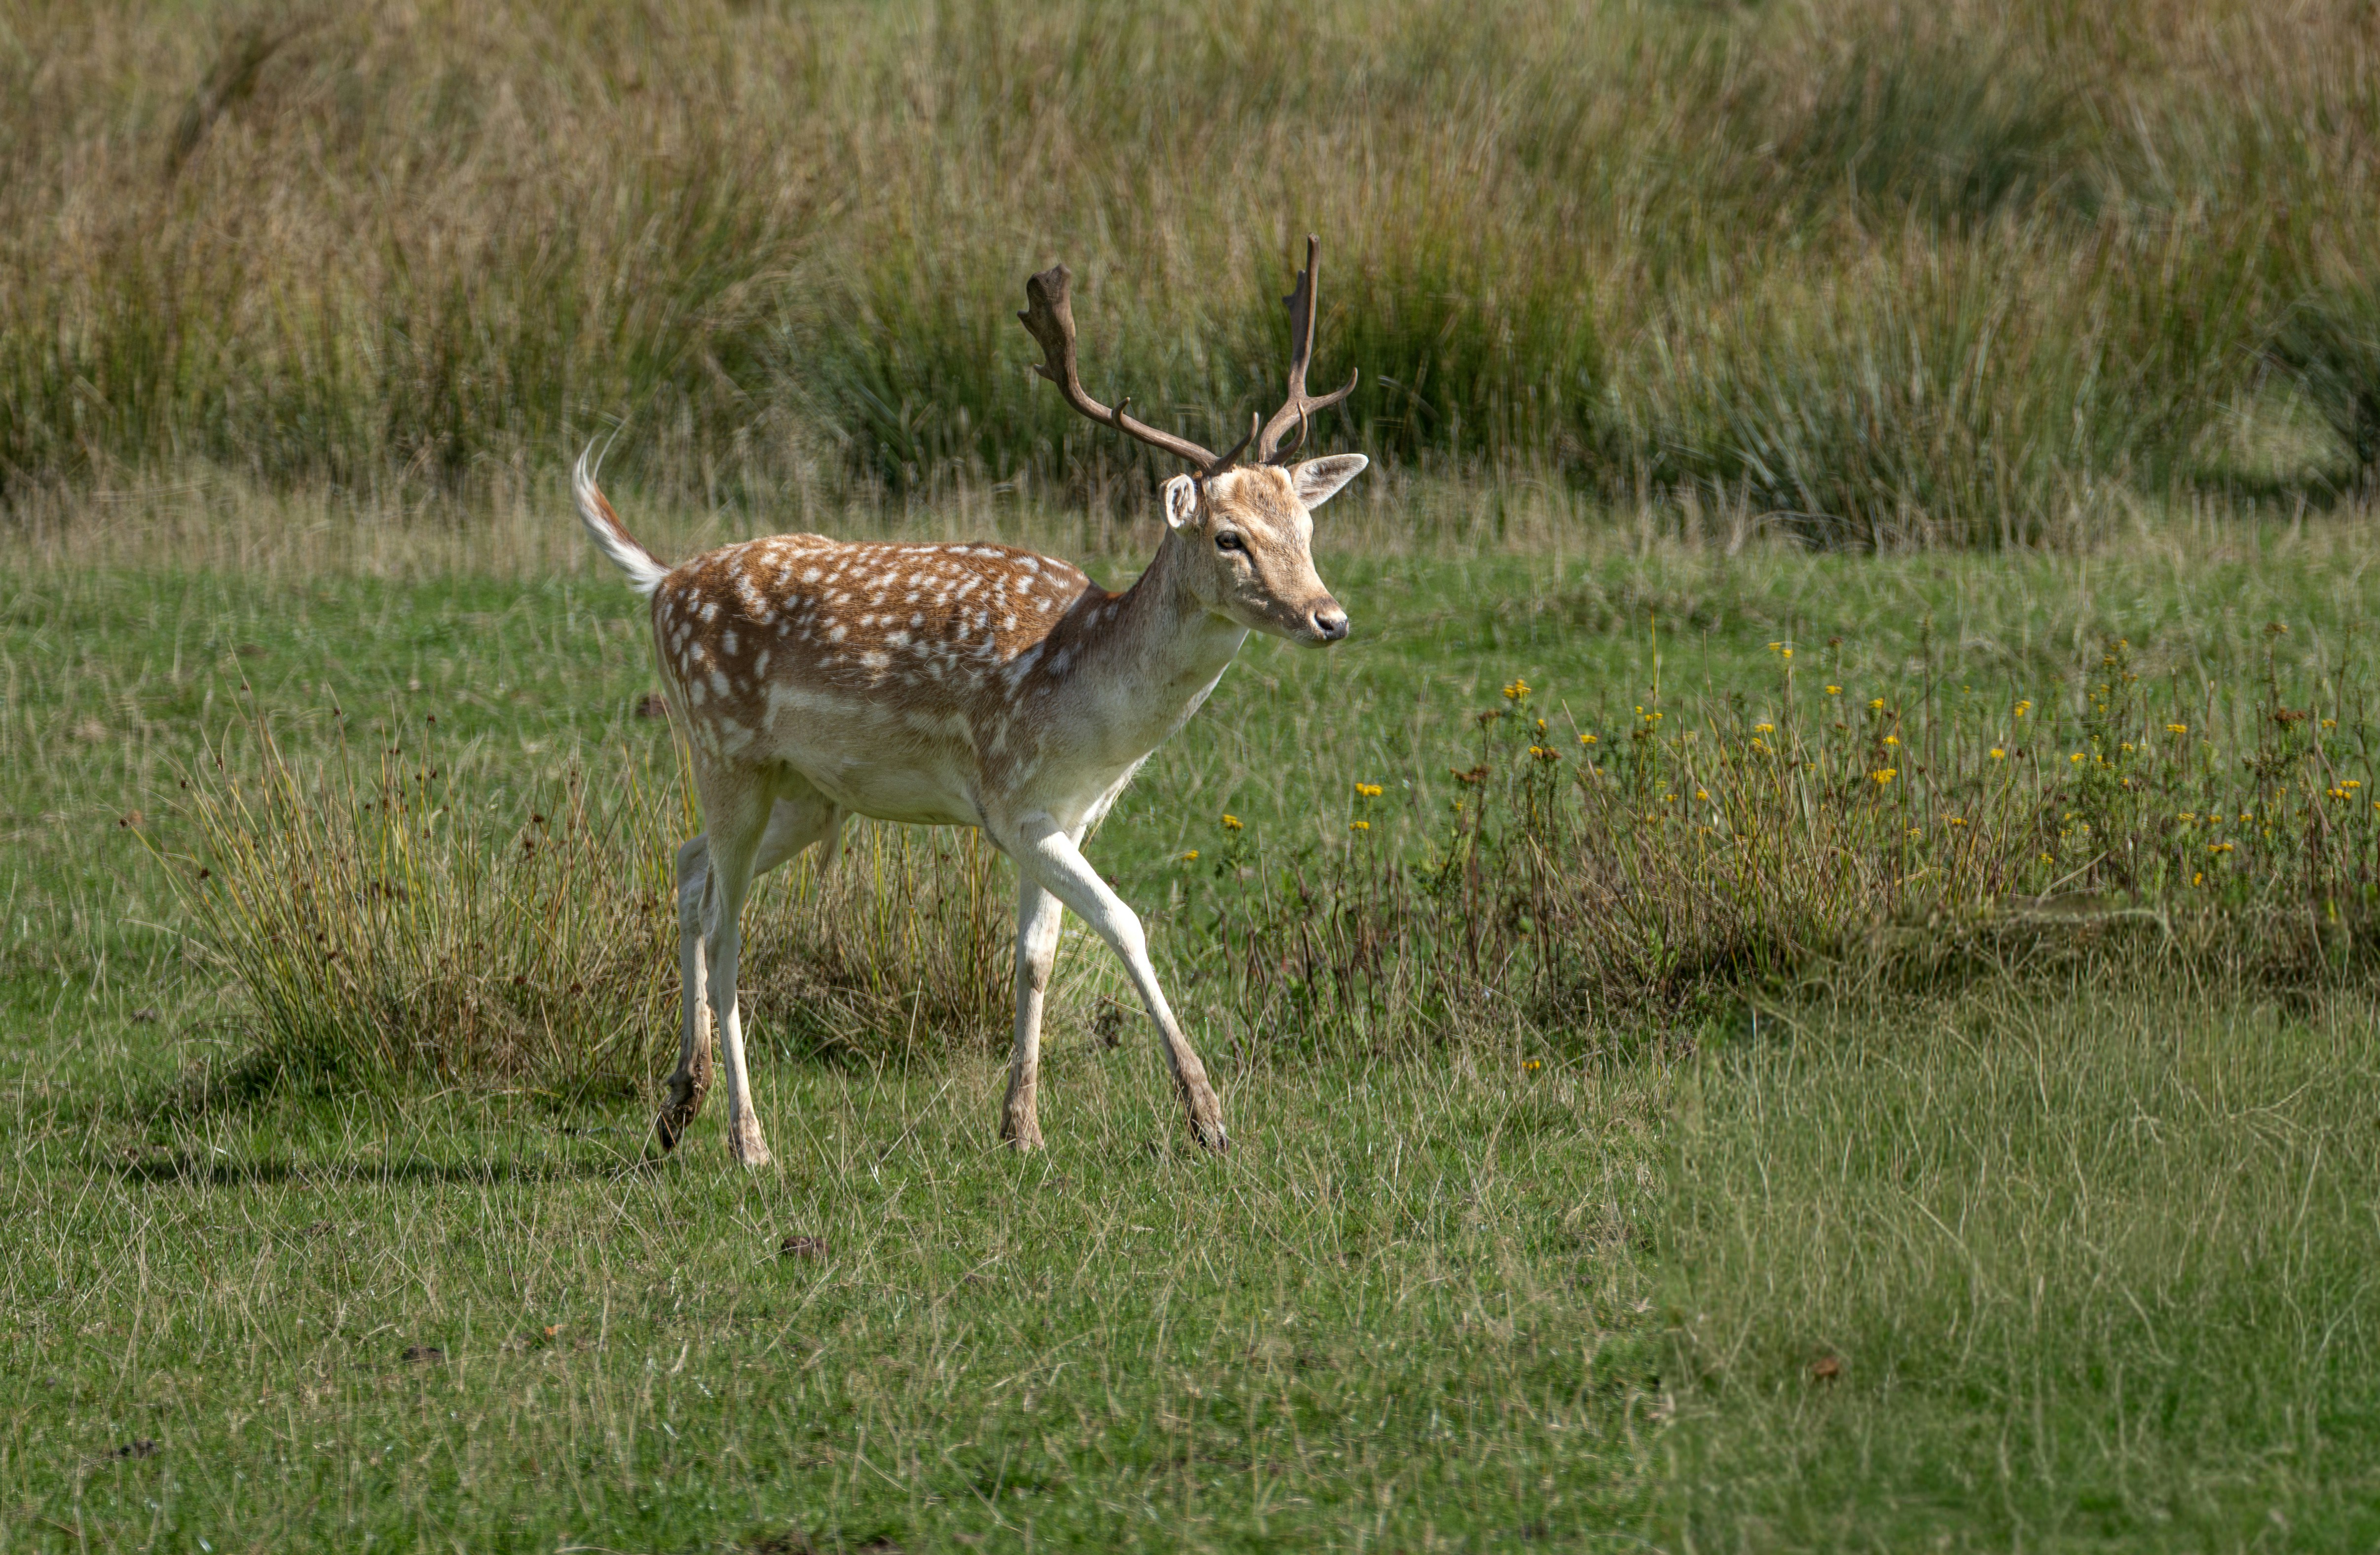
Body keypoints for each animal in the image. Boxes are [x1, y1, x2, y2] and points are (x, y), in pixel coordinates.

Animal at [571, 237, 1367, 1165]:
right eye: (1228, 537)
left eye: (1304, 530)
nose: (1329, 618)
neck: (1094, 718)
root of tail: (661, 581)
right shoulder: (1009, 799)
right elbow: (1124, 921)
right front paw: (1206, 1116)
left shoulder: (1069, 813)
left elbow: (1035, 956)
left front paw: (1020, 1125)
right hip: (721, 745)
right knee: (729, 925)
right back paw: (749, 1140)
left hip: (803, 793)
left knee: (689, 867)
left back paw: (678, 1105)